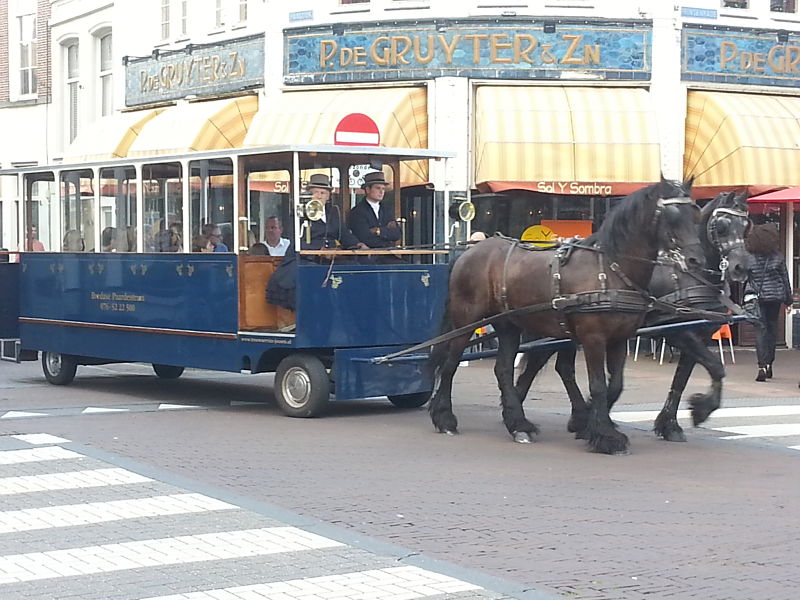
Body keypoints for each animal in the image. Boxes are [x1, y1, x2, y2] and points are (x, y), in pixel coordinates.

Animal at [428, 179, 705, 455]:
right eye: (672, 215)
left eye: (696, 213)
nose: (696, 260)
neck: (610, 269)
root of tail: (467, 253)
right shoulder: (593, 338)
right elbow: (598, 385)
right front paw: (606, 437)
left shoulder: (619, 338)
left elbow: (615, 384)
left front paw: (593, 425)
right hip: (466, 320)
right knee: (451, 363)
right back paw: (445, 418)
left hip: (508, 325)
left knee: (503, 370)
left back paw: (519, 425)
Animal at [513, 191, 751, 443]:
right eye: (722, 226)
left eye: (747, 226)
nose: (741, 267)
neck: (690, 275)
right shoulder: (677, 333)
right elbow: (715, 367)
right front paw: (699, 410)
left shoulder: (699, 335)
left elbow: (684, 378)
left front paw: (671, 424)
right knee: (540, 364)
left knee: (561, 367)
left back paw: (571, 416)